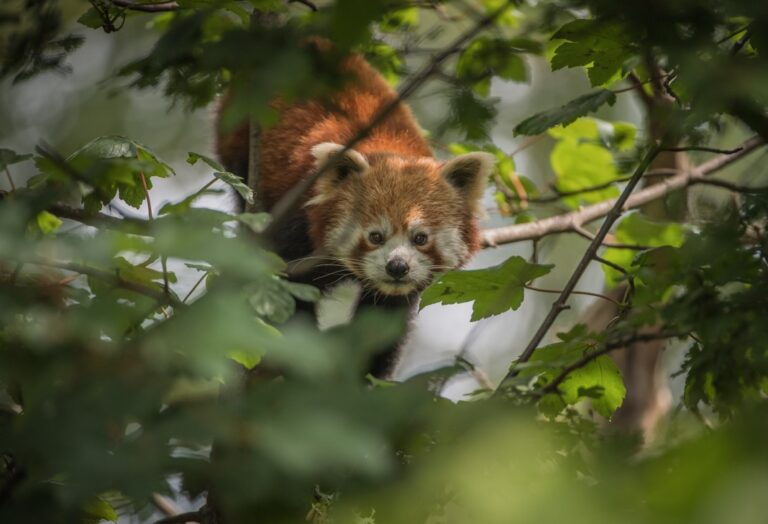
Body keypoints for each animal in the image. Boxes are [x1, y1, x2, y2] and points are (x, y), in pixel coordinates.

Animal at [216, 48, 492, 376]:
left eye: (420, 238)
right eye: (375, 236)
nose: (397, 267)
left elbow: (380, 329)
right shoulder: (298, 232)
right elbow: (284, 296)